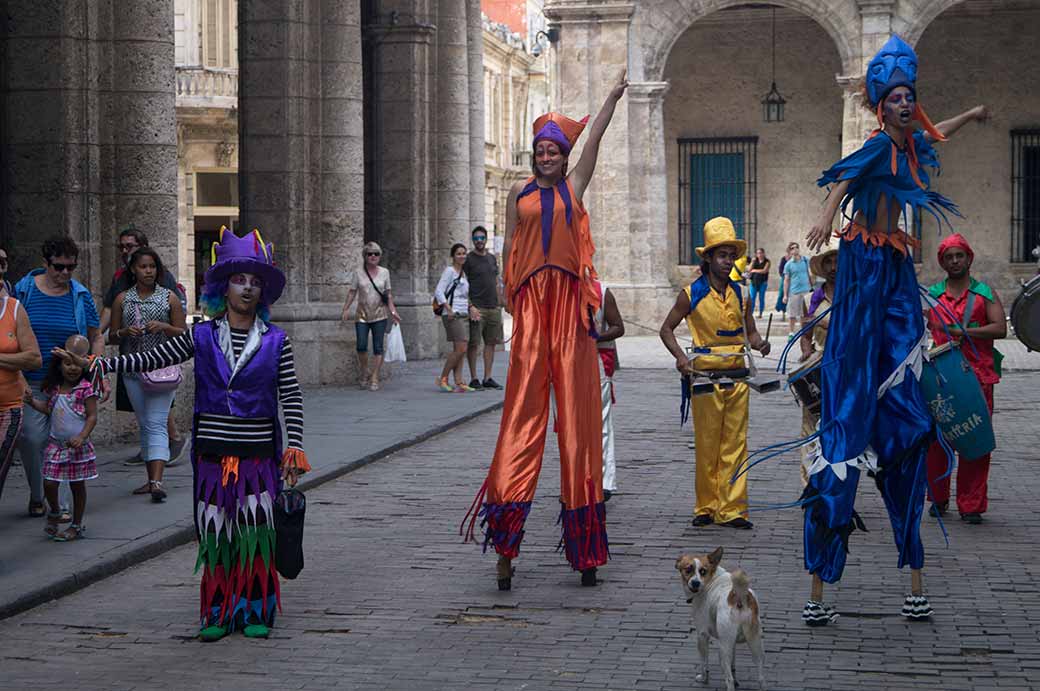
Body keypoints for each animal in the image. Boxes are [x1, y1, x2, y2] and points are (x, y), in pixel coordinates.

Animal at [673, 545, 765, 691]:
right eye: (688, 570)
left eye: (703, 571)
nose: (695, 583)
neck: (712, 578)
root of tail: (739, 597)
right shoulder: (732, 643)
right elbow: (733, 665)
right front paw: (736, 678)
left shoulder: (702, 635)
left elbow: (704, 663)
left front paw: (704, 678)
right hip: (756, 645)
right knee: (761, 677)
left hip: (722, 649)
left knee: (728, 680)